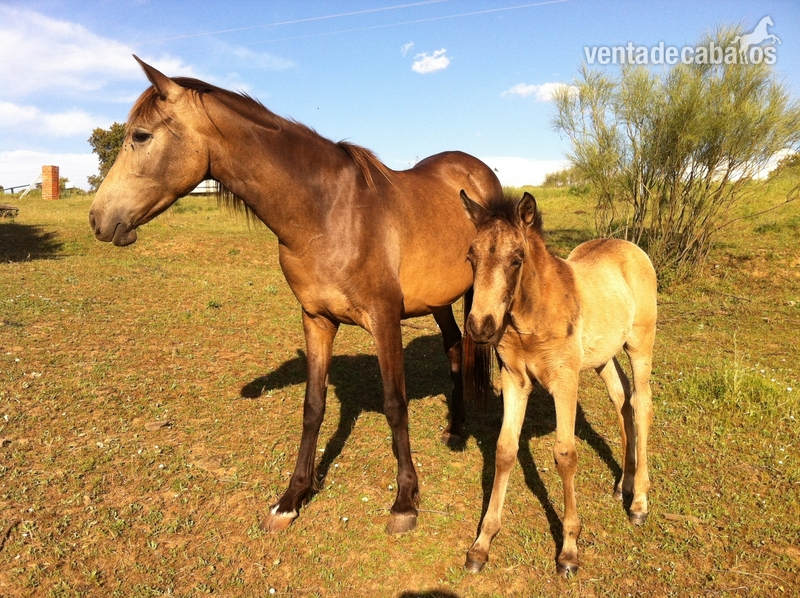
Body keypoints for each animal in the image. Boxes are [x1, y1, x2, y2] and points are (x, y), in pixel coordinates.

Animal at [89, 56, 501, 535]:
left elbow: (395, 404)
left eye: (140, 136)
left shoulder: (384, 321)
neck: (327, 212)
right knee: (454, 347)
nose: (98, 219)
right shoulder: (316, 319)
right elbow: (313, 406)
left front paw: (404, 501)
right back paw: (454, 428)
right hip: (439, 302)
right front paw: (292, 497)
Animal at [459, 190, 657, 576]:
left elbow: (565, 455)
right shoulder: (514, 381)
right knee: (621, 398)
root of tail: (630, 246)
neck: (530, 315)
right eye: (471, 257)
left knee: (641, 403)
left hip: (640, 344)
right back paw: (622, 484)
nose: (480, 326)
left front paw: (569, 550)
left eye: (517, 260)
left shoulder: (565, 381)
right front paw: (481, 544)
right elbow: (504, 449)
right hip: (602, 356)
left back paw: (639, 501)